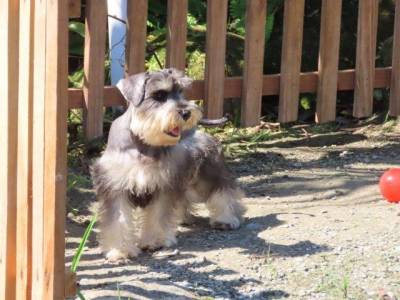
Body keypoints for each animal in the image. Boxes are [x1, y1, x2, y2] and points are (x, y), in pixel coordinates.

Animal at [92, 67, 245, 260]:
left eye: (181, 91)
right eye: (158, 95)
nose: (186, 113)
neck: (143, 143)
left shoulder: (163, 186)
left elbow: (158, 215)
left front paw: (154, 241)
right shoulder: (115, 187)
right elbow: (118, 220)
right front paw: (121, 250)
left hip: (208, 175)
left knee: (224, 191)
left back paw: (226, 219)